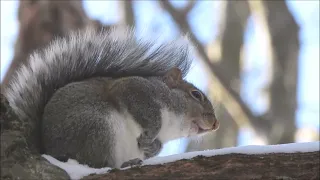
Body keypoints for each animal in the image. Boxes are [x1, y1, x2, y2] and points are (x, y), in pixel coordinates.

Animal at [3, 27, 220, 169]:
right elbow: (148, 115)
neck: (171, 126)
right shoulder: (135, 89)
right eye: (196, 95)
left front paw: (153, 147)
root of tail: (50, 151)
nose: (216, 124)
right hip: (96, 127)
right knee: (94, 163)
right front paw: (150, 134)